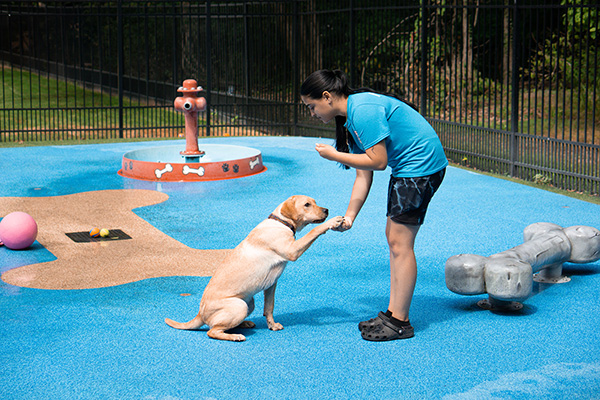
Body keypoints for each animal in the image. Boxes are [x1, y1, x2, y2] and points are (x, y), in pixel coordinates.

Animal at [165, 195, 342, 342]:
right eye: (307, 204)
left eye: (315, 202)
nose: (327, 210)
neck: (281, 222)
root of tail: (200, 314)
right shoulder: (292, 251)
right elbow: (314, 230)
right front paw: (332, 222)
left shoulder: (271, 284)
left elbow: (269, 308)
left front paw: (272, 325)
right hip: (239, 306)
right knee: (212, 331)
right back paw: (235, 336)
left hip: (249, 303)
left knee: (221, 326)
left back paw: (244, 324)